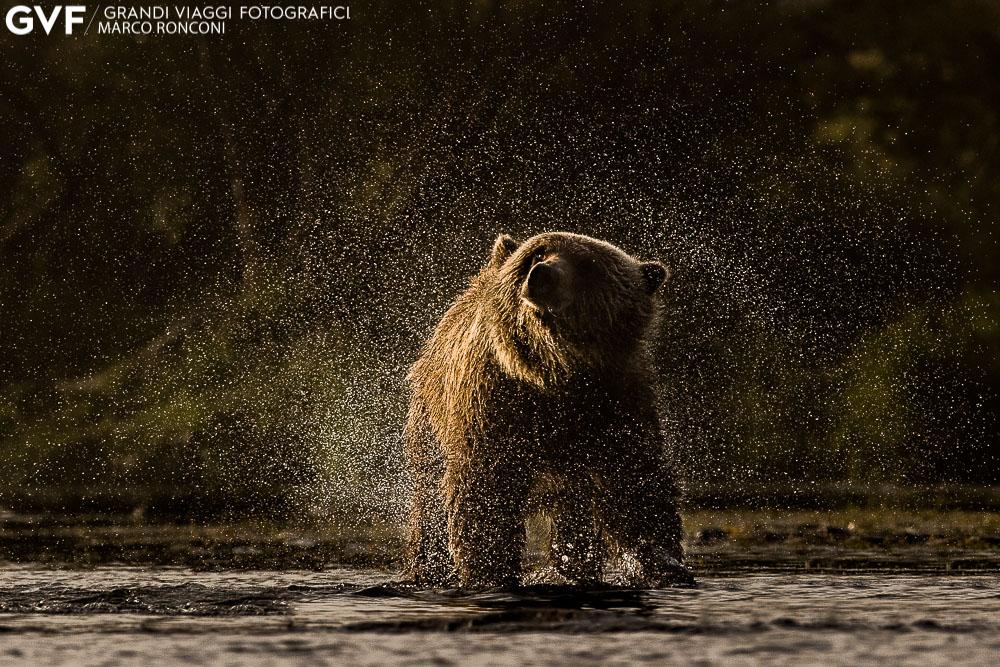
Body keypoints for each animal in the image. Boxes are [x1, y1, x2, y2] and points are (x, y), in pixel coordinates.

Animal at [404, 232, 688, 588]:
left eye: (587, 265)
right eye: (537, 253)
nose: (541, 274)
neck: (554, 372)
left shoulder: (616, 403)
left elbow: (637, 485)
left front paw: (666, 565)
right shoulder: (496, 405)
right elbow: (485, 491)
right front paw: (490, 570)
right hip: (430, 423)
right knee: (428, 505)